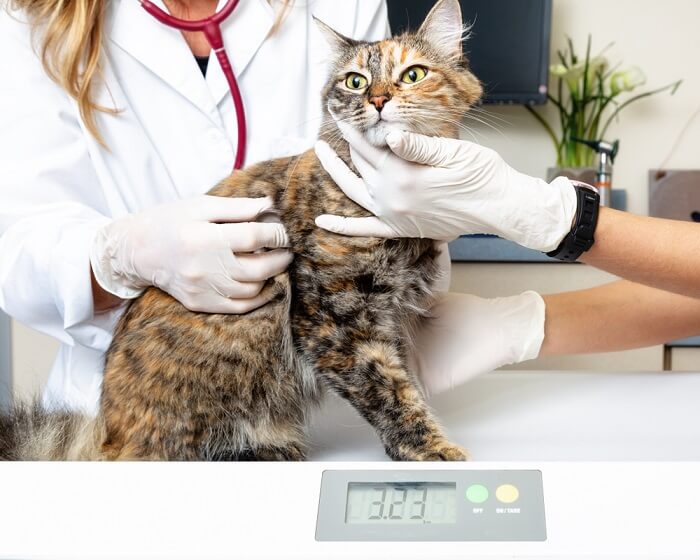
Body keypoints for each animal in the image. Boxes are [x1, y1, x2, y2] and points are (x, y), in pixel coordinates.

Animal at [0, 0, 482, 462]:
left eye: (413, 74)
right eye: (355, 81)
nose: (378, 100)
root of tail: (108, 436)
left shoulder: (387, 313)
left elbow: (402, 380)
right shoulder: (336, 320)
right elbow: (388, 390)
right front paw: (430, 449)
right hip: (259, 311)